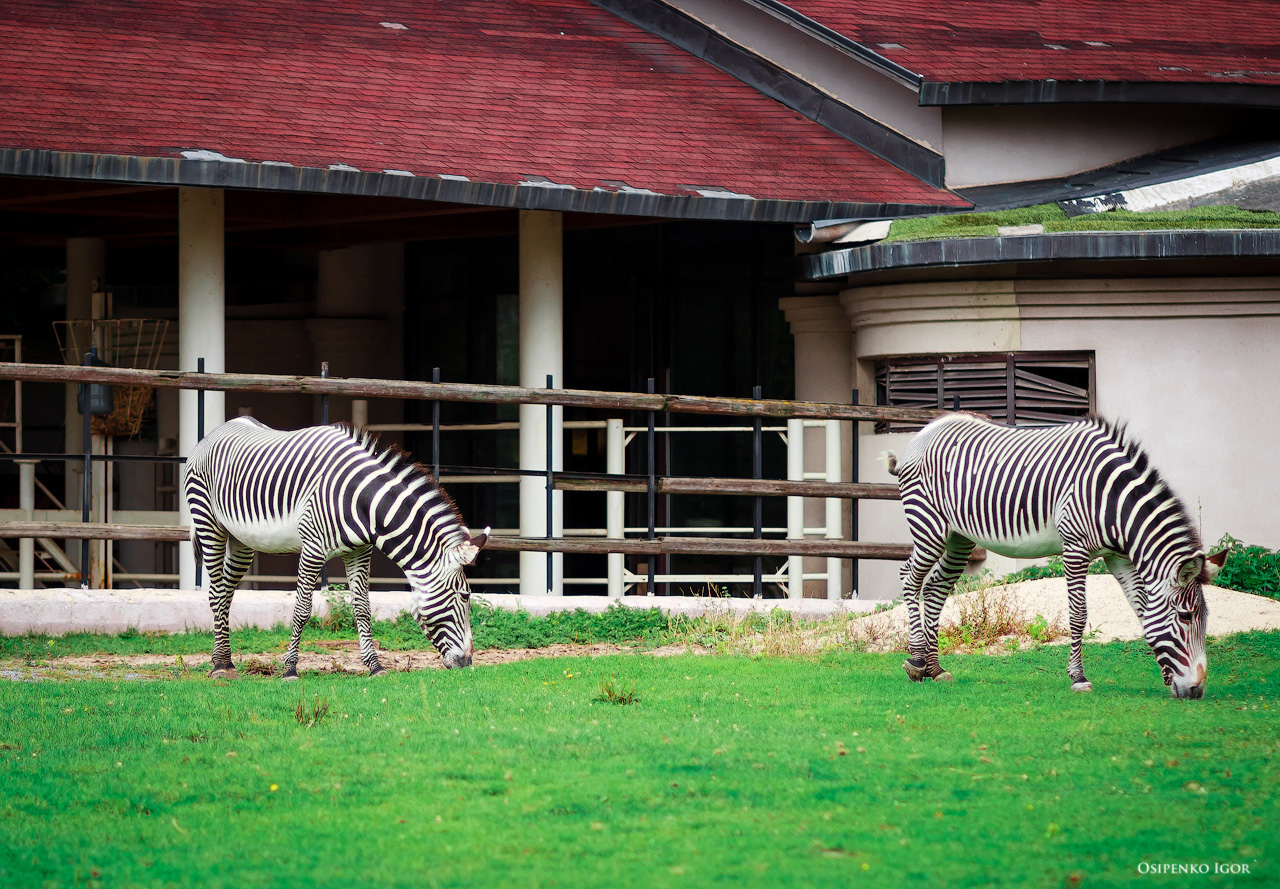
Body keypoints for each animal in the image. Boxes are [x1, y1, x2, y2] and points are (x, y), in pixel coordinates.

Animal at [185, 416, 488, 680]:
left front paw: (375, 667)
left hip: (242, 540)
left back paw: (225, 661)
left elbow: (363, 608)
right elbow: (302, 610)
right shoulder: (312, 548)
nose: (467, 662)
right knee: (216, 593)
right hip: (209, 523)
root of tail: (214, 432)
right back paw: (220, 666)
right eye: (465, 596)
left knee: (225, 593)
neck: (363, 502)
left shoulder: (360, 551)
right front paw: (290, 670)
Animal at [885, 414, 1223, 700]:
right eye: (1185, 617)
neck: (1111, 500)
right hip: (928, 524)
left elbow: (1141, 609)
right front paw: (1079, 678)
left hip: (959, 536)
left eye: (1205, 618)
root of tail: (924, 432)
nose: (1197, 690)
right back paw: (917, 661)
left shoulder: (1119, 557)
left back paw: (935, 669)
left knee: (935, 587)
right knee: (909, 578)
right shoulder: (1075, 547)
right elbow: (1079, 614)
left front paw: (1166, 676)